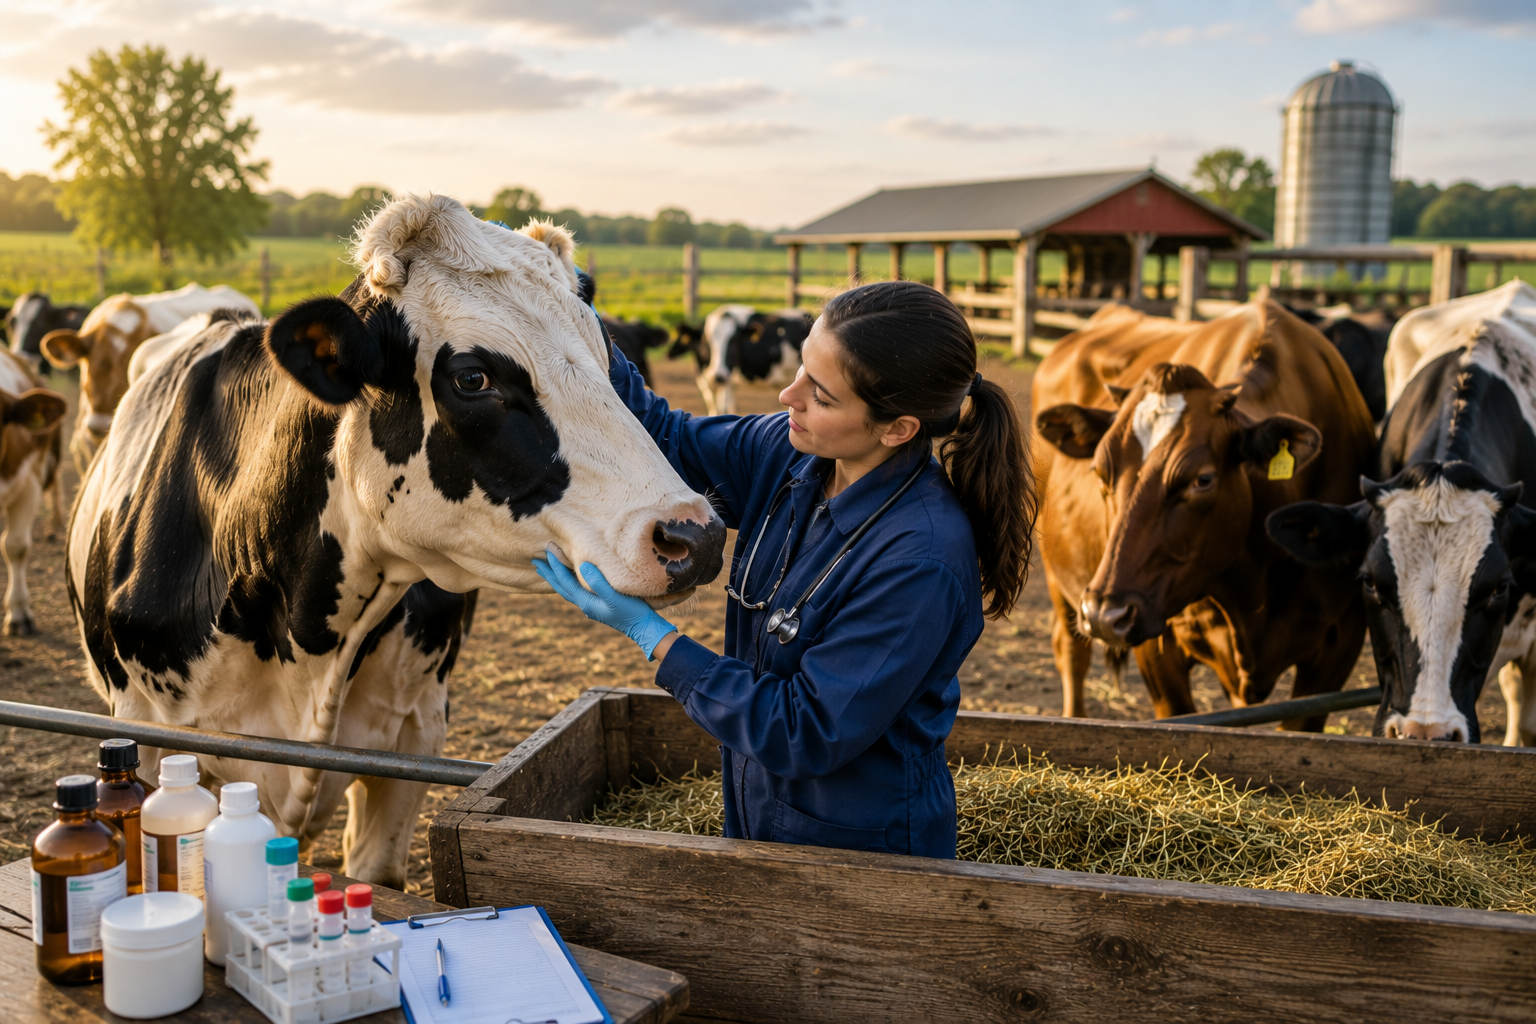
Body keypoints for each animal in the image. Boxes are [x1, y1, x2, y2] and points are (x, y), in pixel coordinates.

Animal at [1033, 300, 1376, 729]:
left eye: (1203, 480)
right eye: (1099, 471)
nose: (1105, 614)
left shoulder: (1339, 642)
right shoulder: (1159, 646)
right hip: (1059, 581)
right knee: (1071, 653)